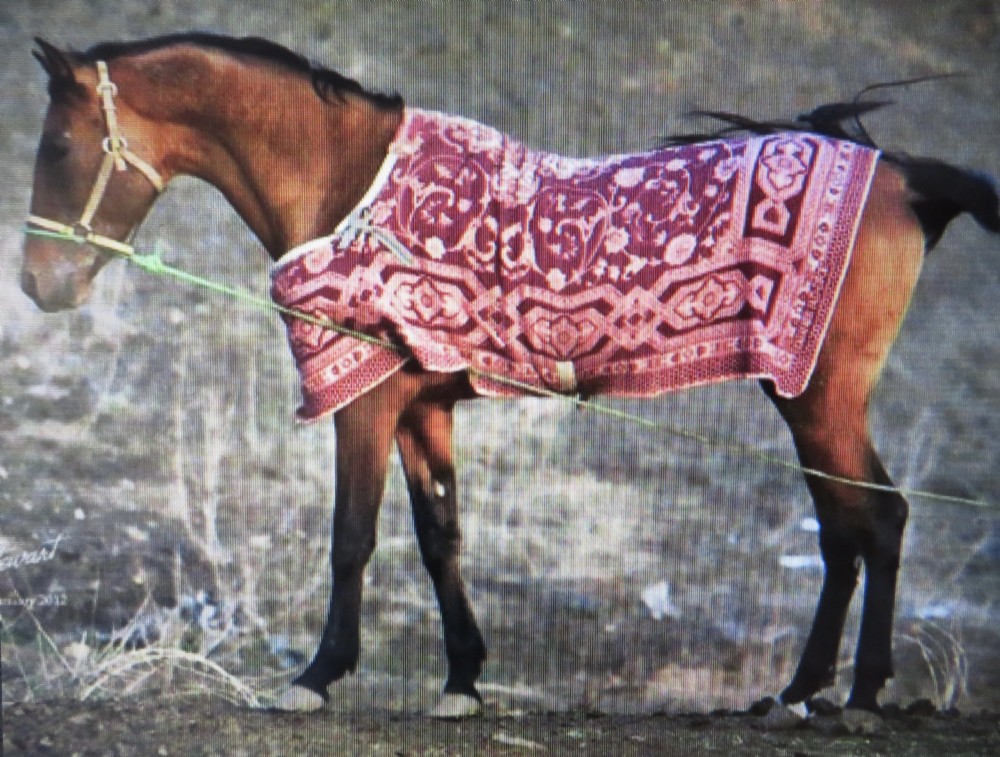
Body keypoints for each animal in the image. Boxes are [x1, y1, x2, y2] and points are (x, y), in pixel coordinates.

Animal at [21, 34, 999, 720]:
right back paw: (799, 692)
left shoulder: (365, 402)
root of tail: (904, 178)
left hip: (818, 398)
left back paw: (857, 694)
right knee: (844, 531)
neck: (349, 185)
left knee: (876, 519)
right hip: (805, 398)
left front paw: (316, 675)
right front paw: (462, 679)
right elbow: (440, 537)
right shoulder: (422, 408)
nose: (39, 284)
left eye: (61, 146)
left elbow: (351, 537)